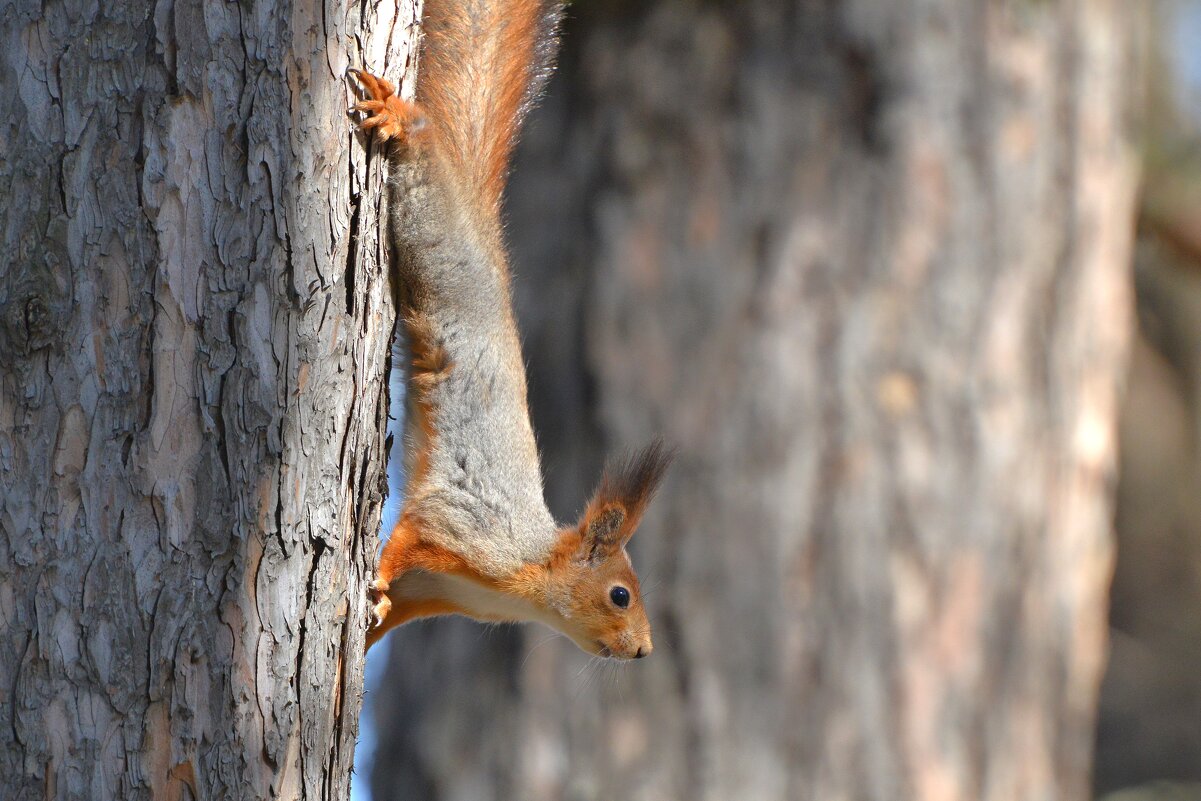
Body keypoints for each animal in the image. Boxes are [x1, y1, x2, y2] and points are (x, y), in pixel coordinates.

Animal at [349, 0, 670, 660]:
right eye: (620, 595)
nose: (644, 650)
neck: (531, 572)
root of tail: (480, 227)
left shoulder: (440, 591)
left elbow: (396, 604)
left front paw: (372, 621)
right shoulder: (461, 528)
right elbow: (408, 537)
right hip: (433, 233)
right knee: (422, 157)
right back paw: (399, 119)